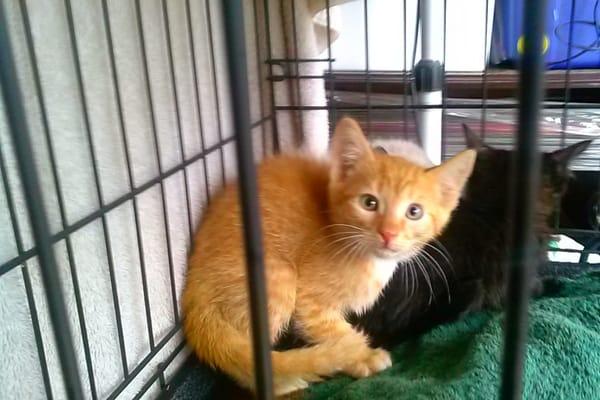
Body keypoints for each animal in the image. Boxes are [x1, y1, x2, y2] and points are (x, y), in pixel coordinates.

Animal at [180, 117, 476, 396]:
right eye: (369, 202)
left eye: (414, 211)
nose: (388, 233)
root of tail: (194, 286)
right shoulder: (310, 302)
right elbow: (335, 331)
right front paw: (361, 356)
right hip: (277, 277)